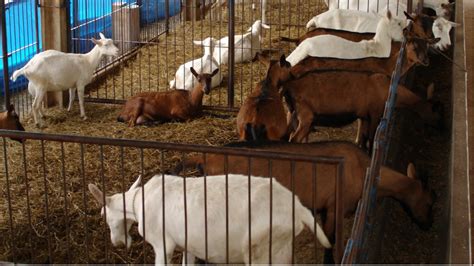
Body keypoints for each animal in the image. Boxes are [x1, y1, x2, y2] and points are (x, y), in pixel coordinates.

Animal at [89, 175, 332, 264]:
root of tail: (297, 207)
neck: (138, 203)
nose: (117, 243)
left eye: (104, 216)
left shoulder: (162, 244)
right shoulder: (187, 244)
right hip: (281, 246)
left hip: (262, 248)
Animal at [171, 141, 434, 262]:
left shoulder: (324, 209)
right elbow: (331, 242)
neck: (363, 168)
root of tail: (204, 157)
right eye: (430, 201)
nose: (428, 224)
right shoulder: (335, 207)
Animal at [282, 69, 440, 149]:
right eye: (436, 111)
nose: (440, 127)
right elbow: (371, 137)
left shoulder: (365, 116)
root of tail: (290, 86)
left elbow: (363, 137)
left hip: (292, 114)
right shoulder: (375, 114)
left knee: (288, 136)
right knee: (294, 139)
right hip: (306, 116)